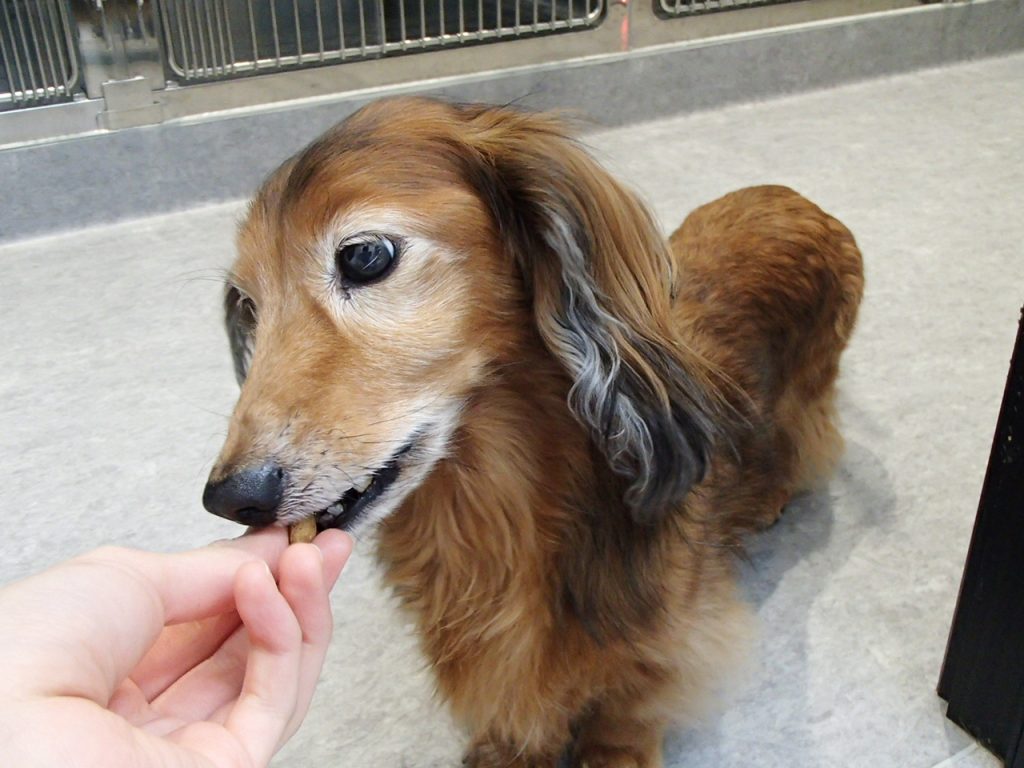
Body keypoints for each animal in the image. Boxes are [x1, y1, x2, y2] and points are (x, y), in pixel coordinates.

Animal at [202, 97, 864, 767]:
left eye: (364, 256)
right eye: (248, 303)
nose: (230, 499)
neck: (491, 510)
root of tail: (791, 196)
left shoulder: (668, 639)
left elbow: (629, 704)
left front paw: (614, 751)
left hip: (806, 392)